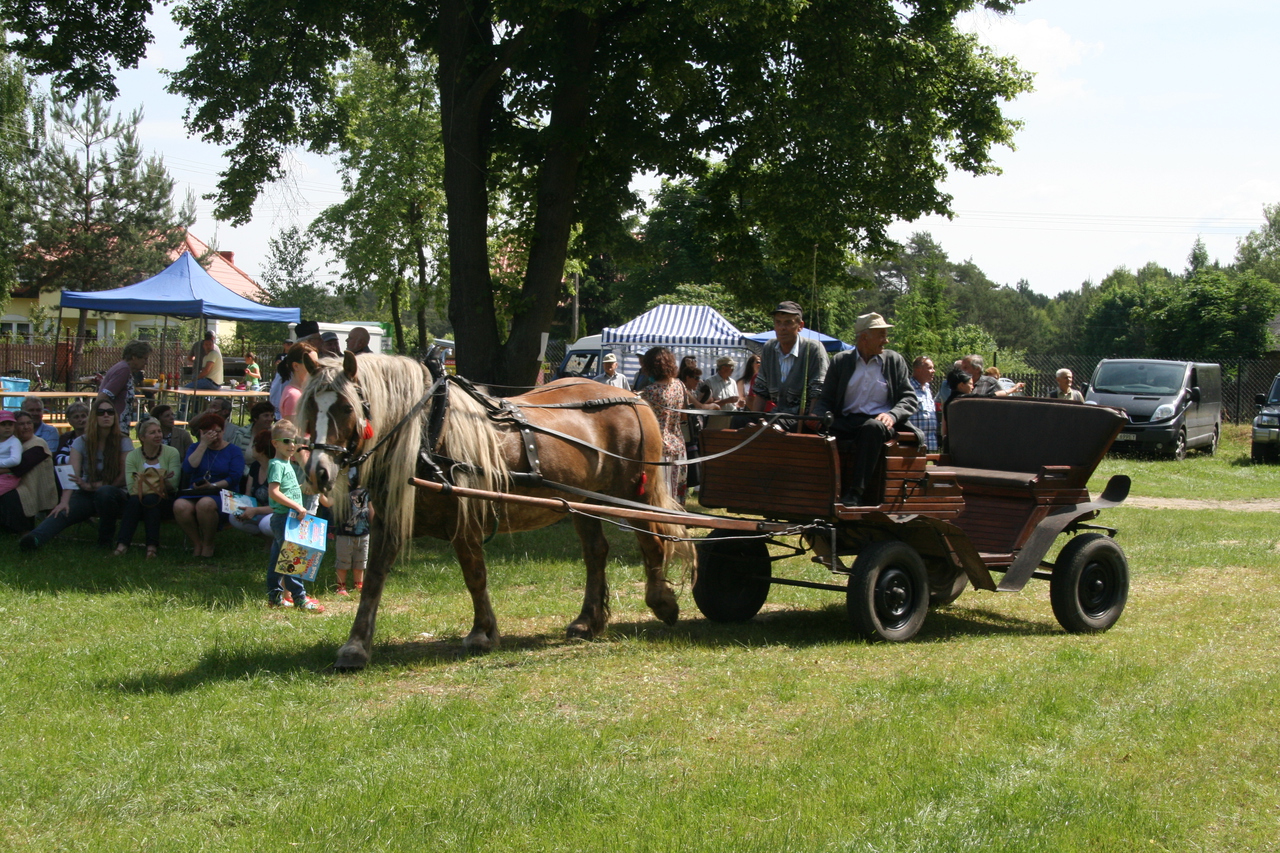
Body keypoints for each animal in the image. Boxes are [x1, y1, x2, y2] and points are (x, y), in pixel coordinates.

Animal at [296, 348, 691, 666]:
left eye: (346, 407)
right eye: (310, 407)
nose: (317, 471)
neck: (430, 431)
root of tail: (632, 398)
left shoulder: (466, 521)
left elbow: (475, 575)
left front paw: (483, 633)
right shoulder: (389, 522)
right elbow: (374, 579)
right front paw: (356, 646)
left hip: (632, 494)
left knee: (651, 543)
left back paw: (662, 602)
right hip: (584, 501)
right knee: (596, 553)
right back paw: (587, 620)